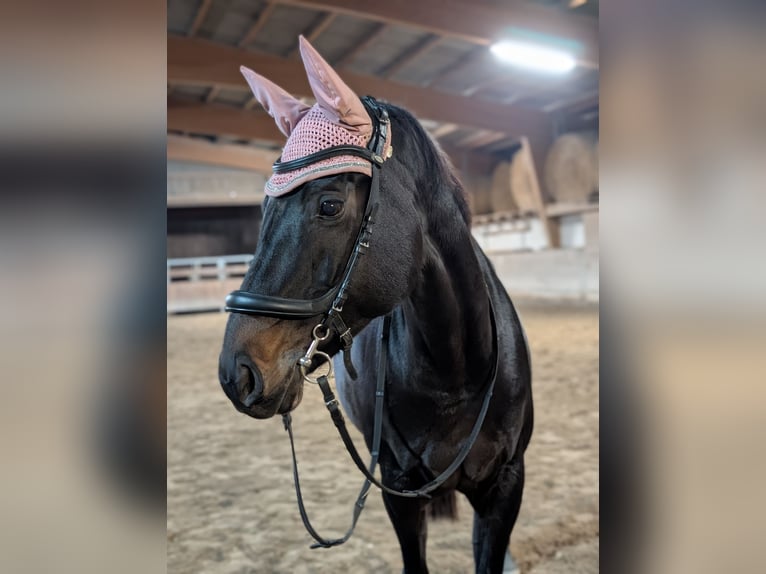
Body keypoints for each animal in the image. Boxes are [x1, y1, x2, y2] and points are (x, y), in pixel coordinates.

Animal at [218, 35, 533, 574]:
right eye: (262, 209)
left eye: (328, 204)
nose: (236, 374)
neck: (454, 372)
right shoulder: (398, 491)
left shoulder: (506, 486)